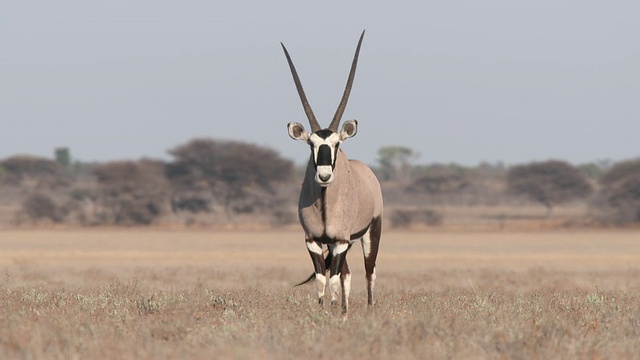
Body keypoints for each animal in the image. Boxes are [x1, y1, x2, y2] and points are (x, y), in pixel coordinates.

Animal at [282, 31, 382, 312]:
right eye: (311, 144)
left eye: (337, 144)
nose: (324, 176)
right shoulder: (314, 240)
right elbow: (322, 280)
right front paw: (323, 311)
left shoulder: (341, 240)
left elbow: (335, 279)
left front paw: (333, 313)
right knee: (347, 274)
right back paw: (345, 311)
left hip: (370, 233)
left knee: (369, 272)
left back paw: (368, 311)